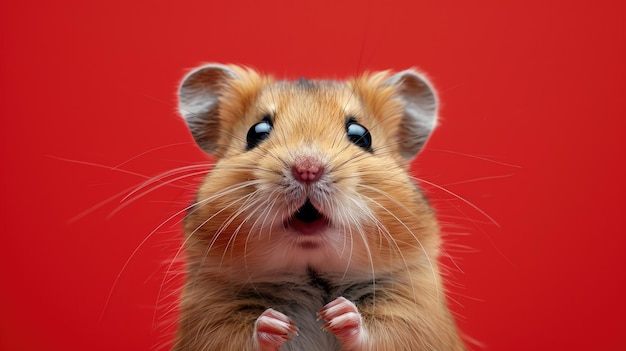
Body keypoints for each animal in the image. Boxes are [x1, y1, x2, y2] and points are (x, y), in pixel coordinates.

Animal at [171, 64, 464, 351]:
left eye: (361, 135)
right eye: (256, 131)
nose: (307, 169)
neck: (314, 275)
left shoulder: (412, 309)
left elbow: (382, 334)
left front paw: (336, 314)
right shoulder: (211, 315)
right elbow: (241, 335)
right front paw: (277, 324)